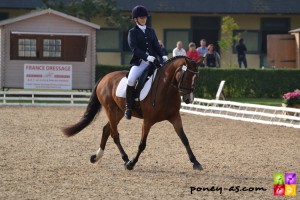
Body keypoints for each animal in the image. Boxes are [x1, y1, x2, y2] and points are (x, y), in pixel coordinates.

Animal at [63, 55, 204, 170]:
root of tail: (105, 77)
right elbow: (142, 144)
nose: (189, 99)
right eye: (187, 76)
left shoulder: (175, 117)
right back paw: (125, 159)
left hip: (119, 111)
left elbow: (184, 139)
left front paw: (196, 162)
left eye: (197, 77)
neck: (166, 89)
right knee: (114, 134)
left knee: (106, 129)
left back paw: (96, 156)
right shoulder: (147, 121)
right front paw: (132, 163)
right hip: (110, 109)